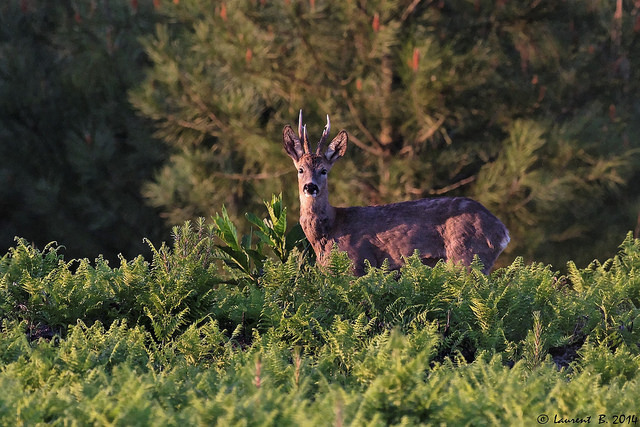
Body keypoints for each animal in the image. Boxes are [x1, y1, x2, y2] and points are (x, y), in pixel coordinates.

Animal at [284, 112, 510, 276]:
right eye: (300, 169)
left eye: (324, 170)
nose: (310, 187)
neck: (329, 231)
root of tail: (503, 231)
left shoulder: (357, 262)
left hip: (467, 257)